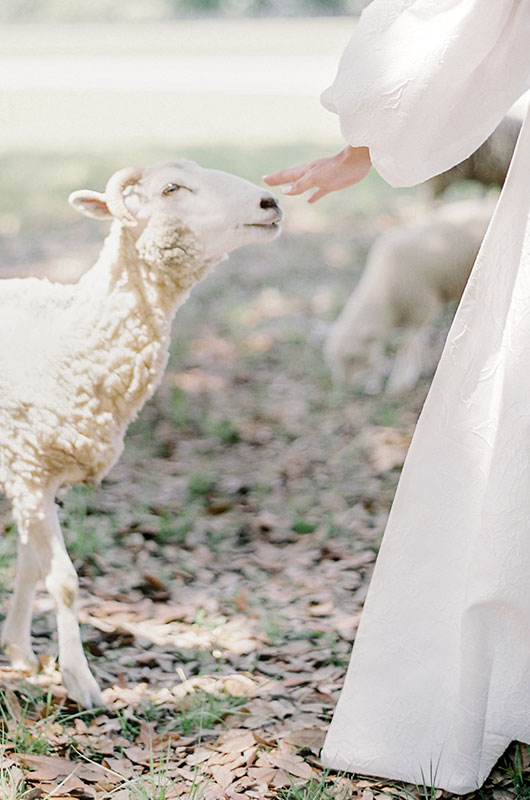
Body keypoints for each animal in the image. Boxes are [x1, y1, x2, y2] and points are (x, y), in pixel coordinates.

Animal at [0, 161, 280, 708]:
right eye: (171, 188)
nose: (270, 203)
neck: (70, 329)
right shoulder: (27, 465)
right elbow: (63, 580)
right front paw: (79, 681)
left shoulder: (36, 473)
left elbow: (28, 565)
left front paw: (19, 650)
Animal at [322, 198, 496, 396]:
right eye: (335, 362)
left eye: (354, 358)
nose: (345, 386)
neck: (386, 297)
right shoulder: (417, 313)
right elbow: (417, 342)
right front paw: (418, 370)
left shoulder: (423, 306)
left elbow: (406, 345)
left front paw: (398, 384)